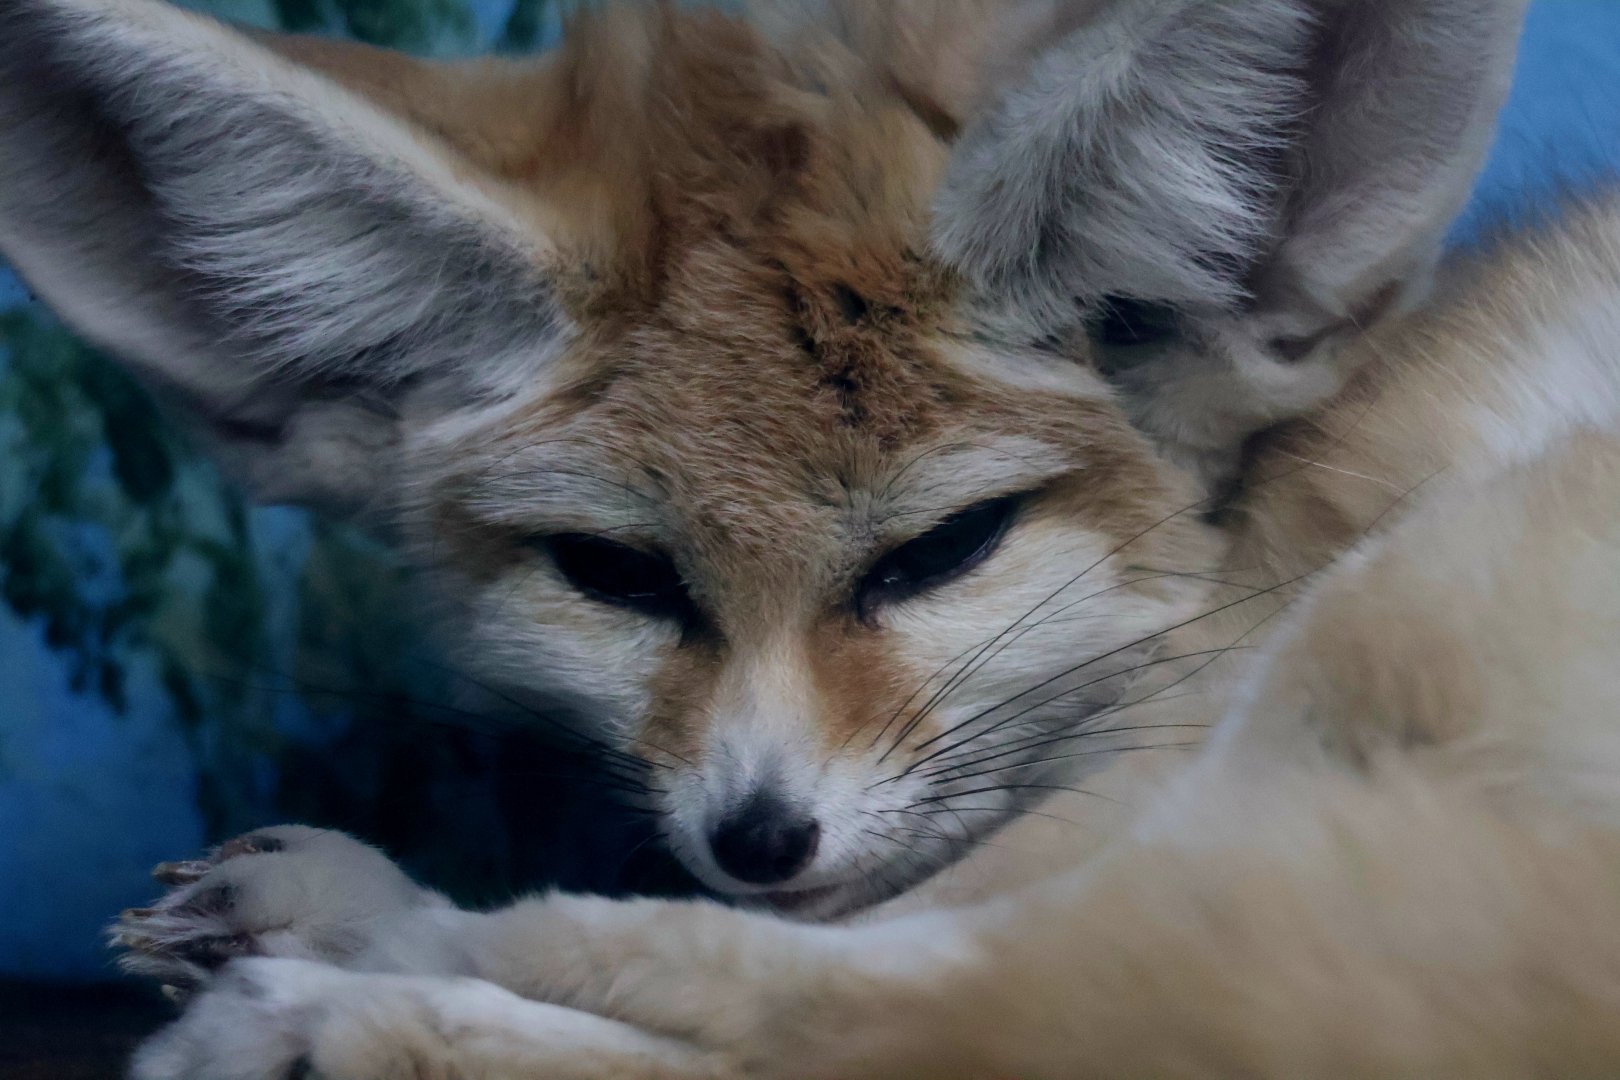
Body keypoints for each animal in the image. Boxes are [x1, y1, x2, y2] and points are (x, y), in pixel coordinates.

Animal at [10, 0, 1620, 1075]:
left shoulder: (1198, 715)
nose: (760, 836)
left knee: (927, 1006)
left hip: (1386, 613)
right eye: (616, 574)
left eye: (942, 550)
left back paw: (341, 983)